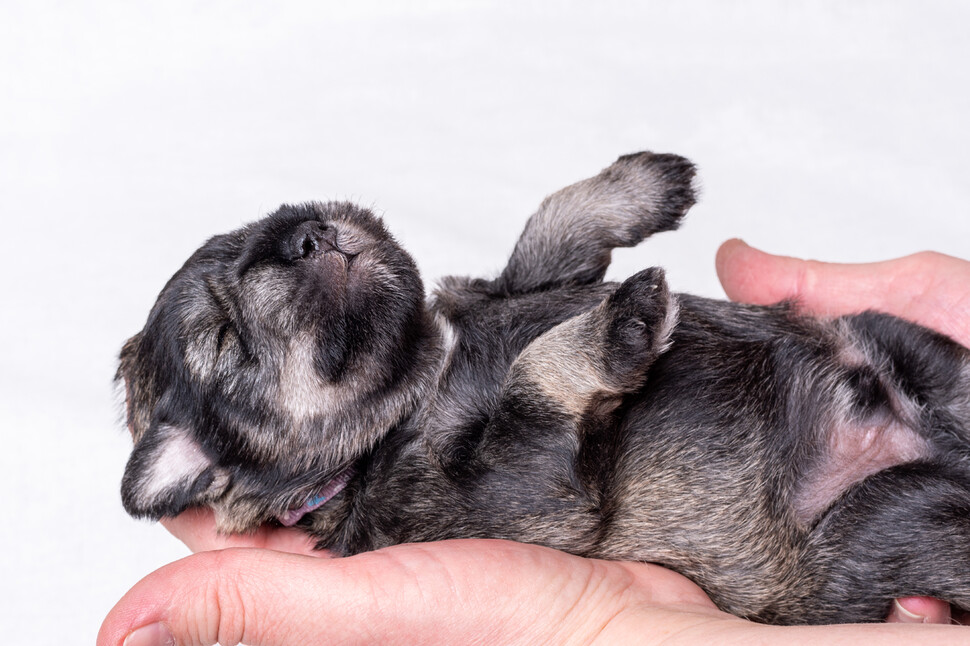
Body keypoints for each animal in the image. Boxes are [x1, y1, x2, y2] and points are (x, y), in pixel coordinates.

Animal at [119, 153, 968, 628]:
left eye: (265, 222)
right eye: (225, 341)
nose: (307, 231)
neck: (427, 370)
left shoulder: (522, 286)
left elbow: (549, 234)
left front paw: (648, 181)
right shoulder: (524, 482)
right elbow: (533, 379)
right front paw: (622, 324)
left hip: (915, 358)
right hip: (878, 529)